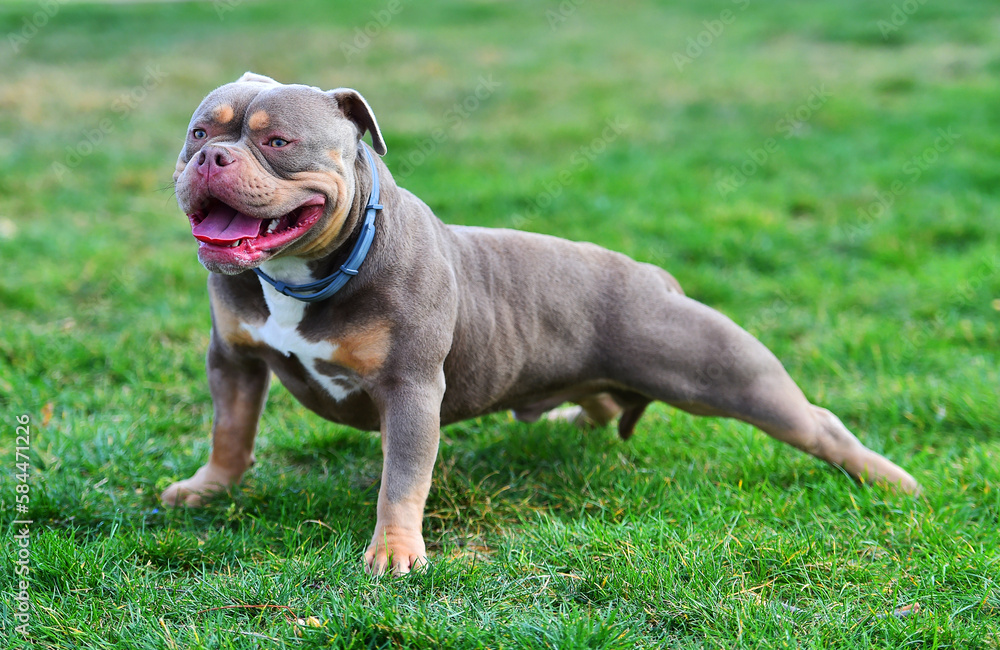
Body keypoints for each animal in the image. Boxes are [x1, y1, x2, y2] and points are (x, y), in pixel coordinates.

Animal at [164, 73, 920, 576]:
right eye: (199, 132)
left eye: (279, 141)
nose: (209, 157)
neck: (306, 270)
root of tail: (656, 275)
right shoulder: (232, 361)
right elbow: (230, 430)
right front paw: (210, 489)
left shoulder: (411, 391)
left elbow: (402, 478)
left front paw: (395, 551)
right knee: (603, 401)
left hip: (721, 372)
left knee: (815, 422)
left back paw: (889, 481)